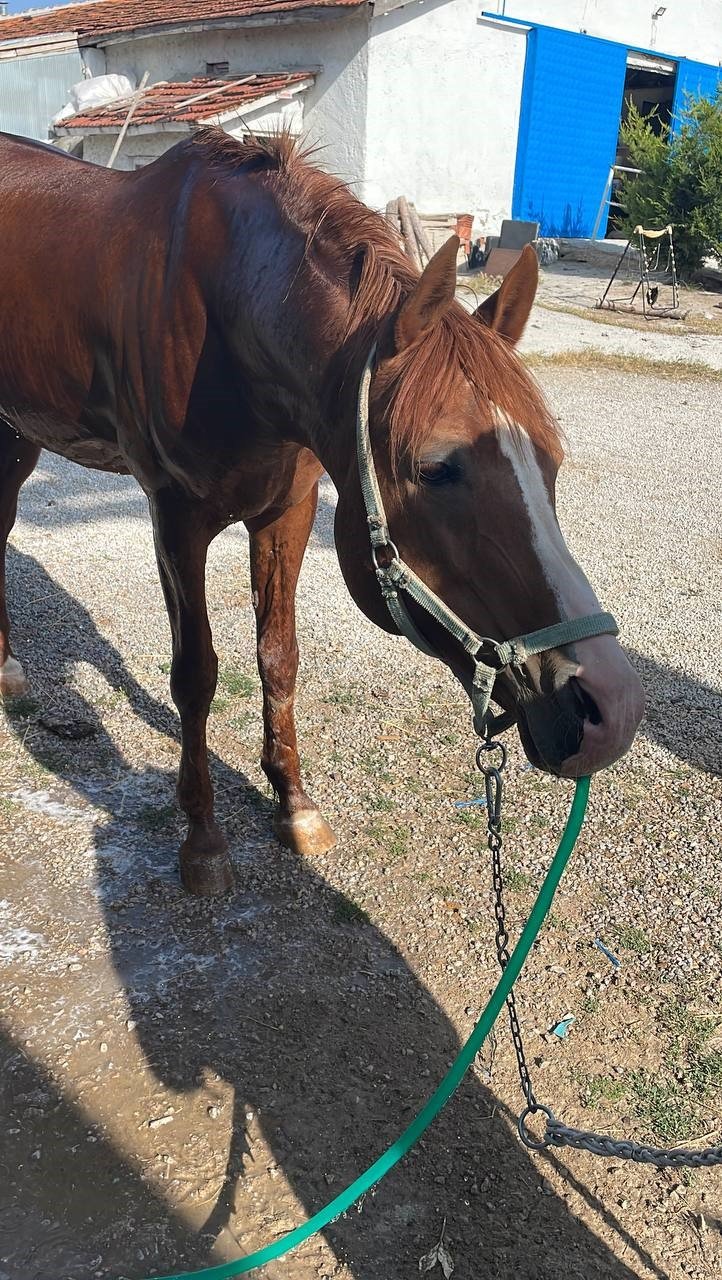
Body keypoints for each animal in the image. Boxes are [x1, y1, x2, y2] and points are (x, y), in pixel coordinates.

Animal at [0, 127, 642, 890]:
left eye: (550, 459)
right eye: (436, 468)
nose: (613, 708)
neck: (227, 307)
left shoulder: (290, 511)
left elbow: (278, 657)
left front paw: (295, 805)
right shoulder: (175, 520)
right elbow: (196, 674)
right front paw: (203, 839)